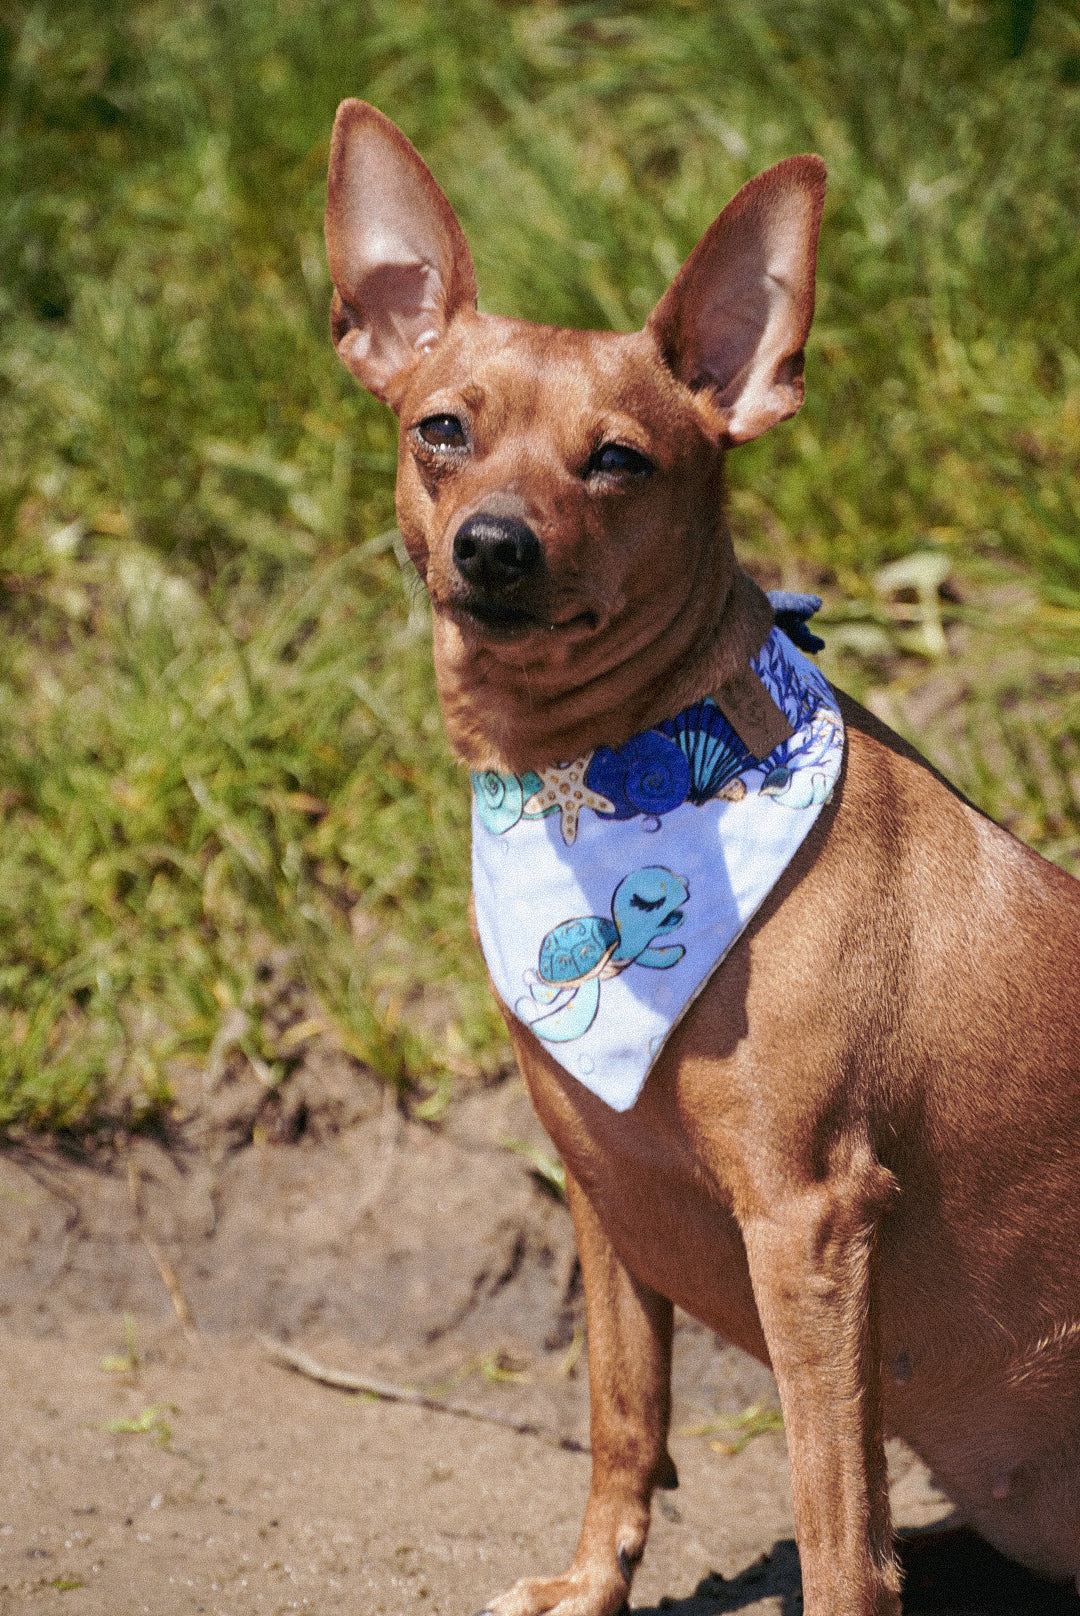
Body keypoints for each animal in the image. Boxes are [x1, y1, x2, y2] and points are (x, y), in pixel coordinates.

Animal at [324, 104, 1080, 1616]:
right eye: (442, 430)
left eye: (619, 460)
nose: (493, 545)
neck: (600, 785)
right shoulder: (605, 1191)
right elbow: (627, 1415)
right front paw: (591, 1582)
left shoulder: (811, 1225)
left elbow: (837, 1524)